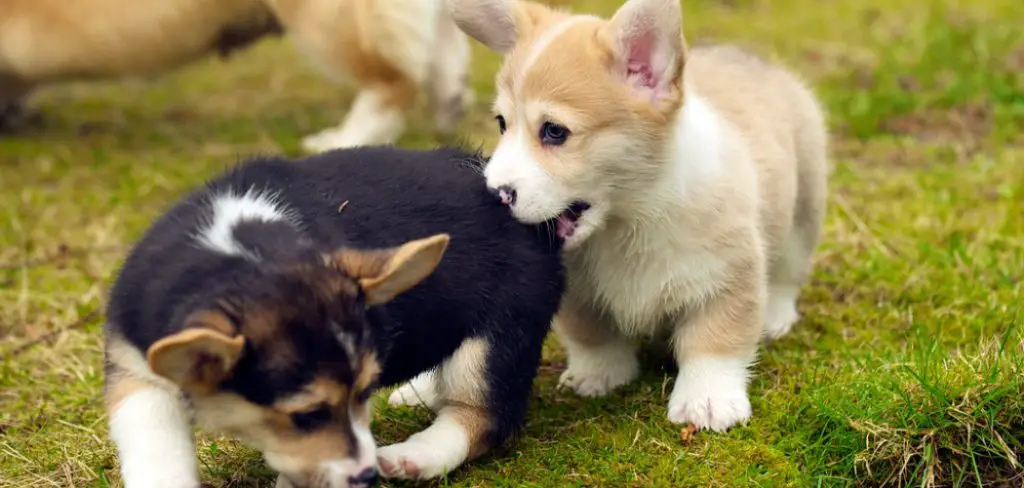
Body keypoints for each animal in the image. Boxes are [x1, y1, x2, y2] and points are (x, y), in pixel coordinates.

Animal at [101, 145, 569, 486]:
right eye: (308, 415)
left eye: (364, 393)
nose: (366, 477)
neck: (235, 252)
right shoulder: (137, 377)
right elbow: (156, 454)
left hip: (499, 336)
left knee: (482, 415)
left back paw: (415, 456)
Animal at [387, 0, 827, 429]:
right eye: (501, 124)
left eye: (554, 132)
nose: (494, 194)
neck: (632, 218)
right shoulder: (580, 295)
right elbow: (592, 337)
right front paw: (599, 375)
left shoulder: (727, 277)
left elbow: (714, 342)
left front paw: (707, 400)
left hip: (803, 213)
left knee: (787, 274)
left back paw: (776, 317)